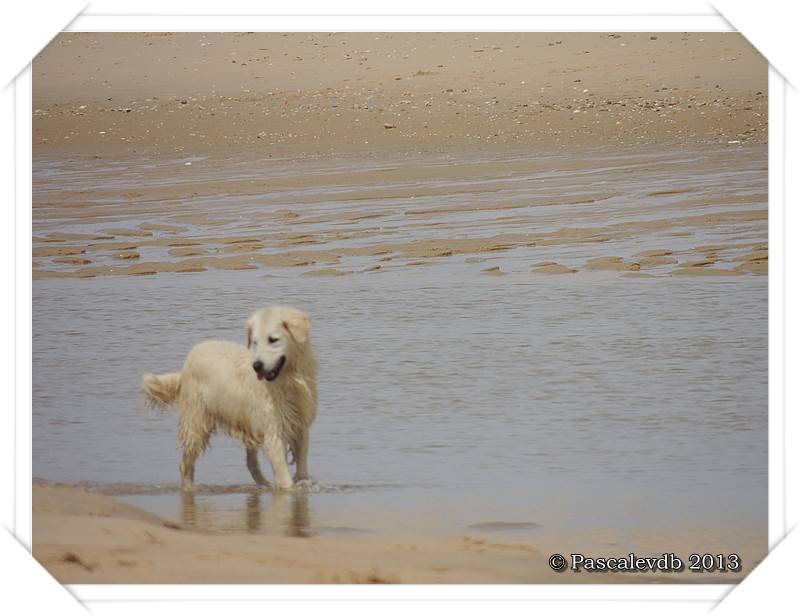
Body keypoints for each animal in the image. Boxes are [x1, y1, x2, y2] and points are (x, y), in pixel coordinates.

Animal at [142, 306, 318, 490]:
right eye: (255, 342)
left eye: (273, 340)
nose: (257, 366)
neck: (288, 381)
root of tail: (188, 359)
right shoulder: (273, 431)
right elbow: (284, 478)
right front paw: (291, 488)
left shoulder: (300, 426)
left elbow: (302, 464)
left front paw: (303, 483)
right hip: (196, 422)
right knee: (185, 462)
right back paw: (190, 487)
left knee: (251, 463)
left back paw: (264, 485)